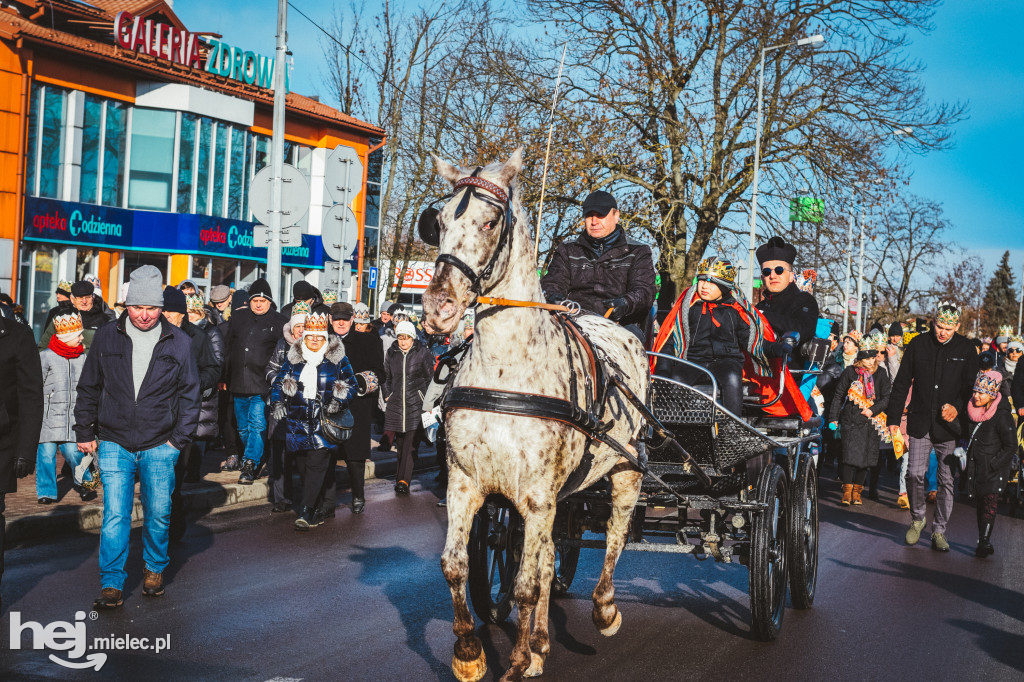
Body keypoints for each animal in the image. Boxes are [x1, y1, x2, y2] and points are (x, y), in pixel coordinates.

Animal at [421, 150, 647, 679]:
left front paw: (519, 660)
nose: (439, 307)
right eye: (439, 221)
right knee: (547, 557)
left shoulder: (539, 495)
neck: (506, 372)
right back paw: (543, 639)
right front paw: (469, 652)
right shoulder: (466, 482)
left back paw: (604, 609)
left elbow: (525, 585)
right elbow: (456, 565)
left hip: (626, 466)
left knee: (615, 533)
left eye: (489, 221)